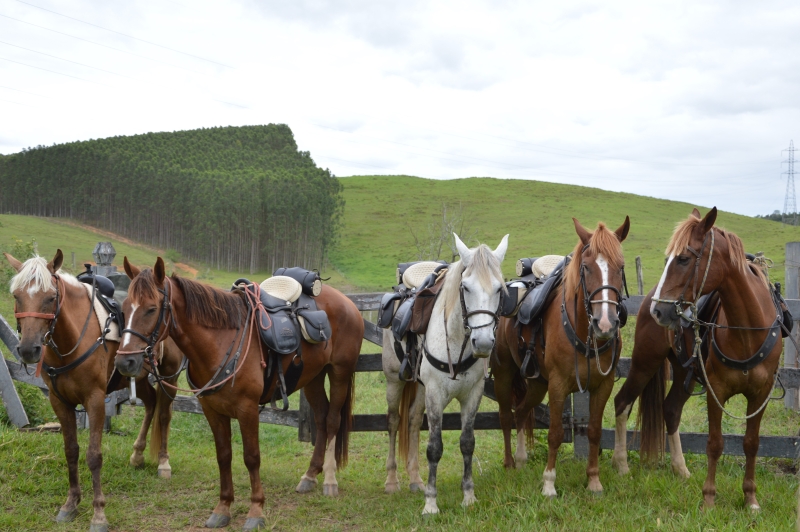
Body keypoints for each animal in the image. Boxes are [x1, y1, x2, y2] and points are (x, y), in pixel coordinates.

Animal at [5, 249, 183, 532]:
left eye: (51, 297)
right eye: (16, 296)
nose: (28, 349)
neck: (74, 339)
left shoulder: (96, 400)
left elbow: (93, 455)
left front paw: (99, 514)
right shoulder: (60, 402)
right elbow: (71, 450)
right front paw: (70, 504)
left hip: (170, 375)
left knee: (164, 414)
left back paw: (163, 463)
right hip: (137, 375)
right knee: (151, 404)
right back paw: (137, 454)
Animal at [116, 256, 366, 528]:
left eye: (151, 309)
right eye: (125, 308)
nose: (124, 362)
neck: (220, 342)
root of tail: (347, 303)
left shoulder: (248, 410)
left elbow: (252, 457)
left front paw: (256, 510)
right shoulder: (212, 410)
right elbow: (224, 456)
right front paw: (223, 507)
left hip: (340, 372)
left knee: (332, 421)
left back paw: (330, 480)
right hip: (313, 377)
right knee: (320, 419)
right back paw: (309, 476)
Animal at [384, 234, 510, 516]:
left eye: (499, 289)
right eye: (465, 287)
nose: (483, 343)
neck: (455, 339)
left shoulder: (472, 395)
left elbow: (467, 443)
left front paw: (468, 496)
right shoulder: (435, 394)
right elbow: (434, 447)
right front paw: (431, 503)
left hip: (419, 388)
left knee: (411, 421)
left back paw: (415, 480)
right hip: (394, 381)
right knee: (394, 422)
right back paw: (392, 481)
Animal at [490, 215, 628, 494]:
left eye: (620, 267)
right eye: (585, 267)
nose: (605, 324)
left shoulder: (603, 386)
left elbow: (594, 431)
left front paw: (594, 480)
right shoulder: (558, 385)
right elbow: (554, 433)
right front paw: (549, 483)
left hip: (537, 383)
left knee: (521, 412)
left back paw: (521, 460)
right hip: (504, 376)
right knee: (506, 416)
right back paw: (509, 464)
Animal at [616, 209, 784, 512]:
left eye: (683, 258)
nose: (659, 310)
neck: (747, 330)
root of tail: (645, 299)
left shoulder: (760, 394)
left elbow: (752, 443)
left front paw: (750, 498)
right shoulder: (716, 391)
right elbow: (714, 443)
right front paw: (709, 498)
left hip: (685, 373)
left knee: (670, 410)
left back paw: (681, 469)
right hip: (644, 363)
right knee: (622, 402)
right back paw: (622, 465)